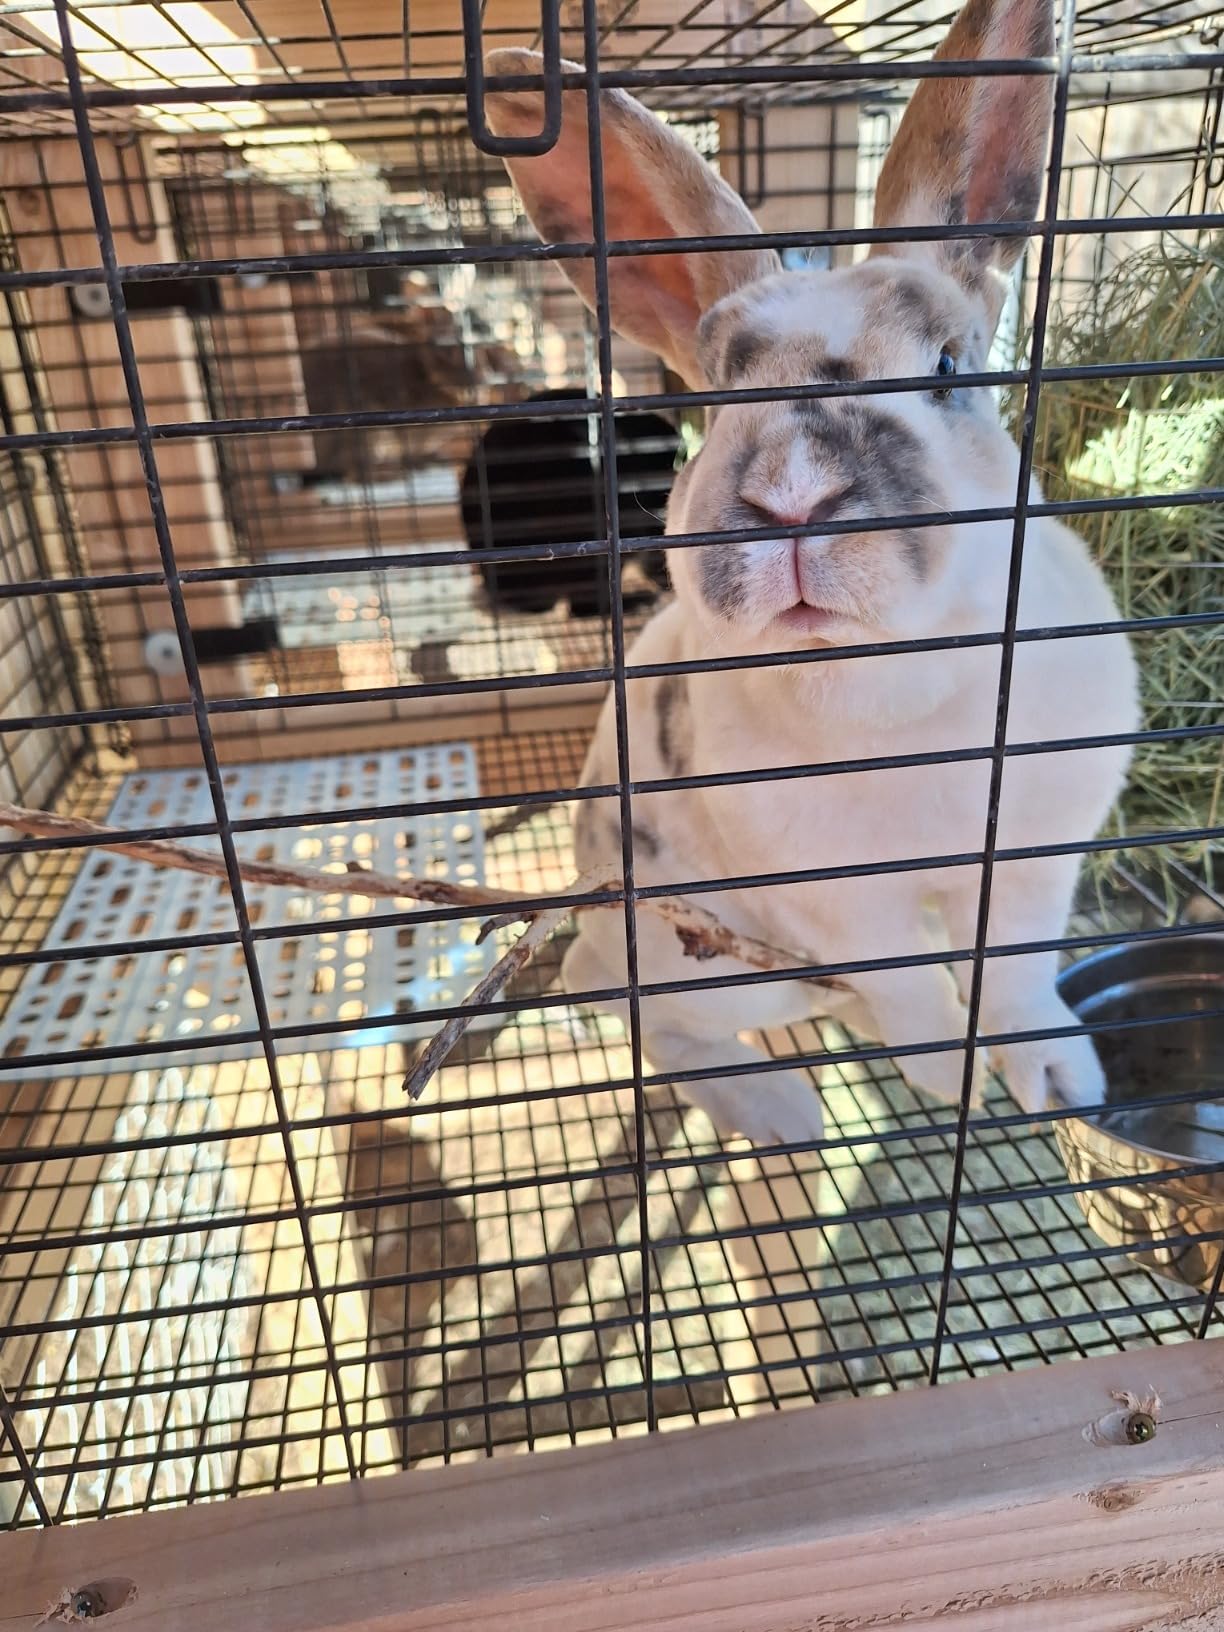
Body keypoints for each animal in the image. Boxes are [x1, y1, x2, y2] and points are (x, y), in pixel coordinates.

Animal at [482, 0, 1139, 1146]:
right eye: (714, 395)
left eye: (948, 370)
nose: (794, 498)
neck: (888, 685)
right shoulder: (841, 901)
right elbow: (915, 990)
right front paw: (953, 1078)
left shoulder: (1033, 859)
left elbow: (1016, 973)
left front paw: (1057, 1080)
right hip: (718, 966)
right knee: (616, 998)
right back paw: (785, 1110)